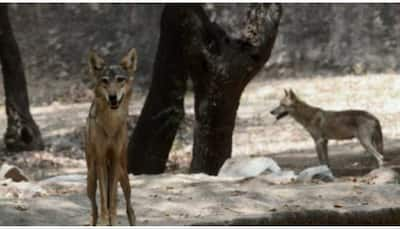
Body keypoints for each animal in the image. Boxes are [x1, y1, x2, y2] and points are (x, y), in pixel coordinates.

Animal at [85, 48, 137, 225]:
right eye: (105, 81)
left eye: (120, 80)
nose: (113, 97)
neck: (110, 125)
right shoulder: (101, 160)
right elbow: (103, 199)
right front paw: (104, 221)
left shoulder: (114, 160)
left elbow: (113, 197)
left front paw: (112, 220)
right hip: (90, 179)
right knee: (94, 208)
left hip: (123, 174)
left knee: (129, 205)